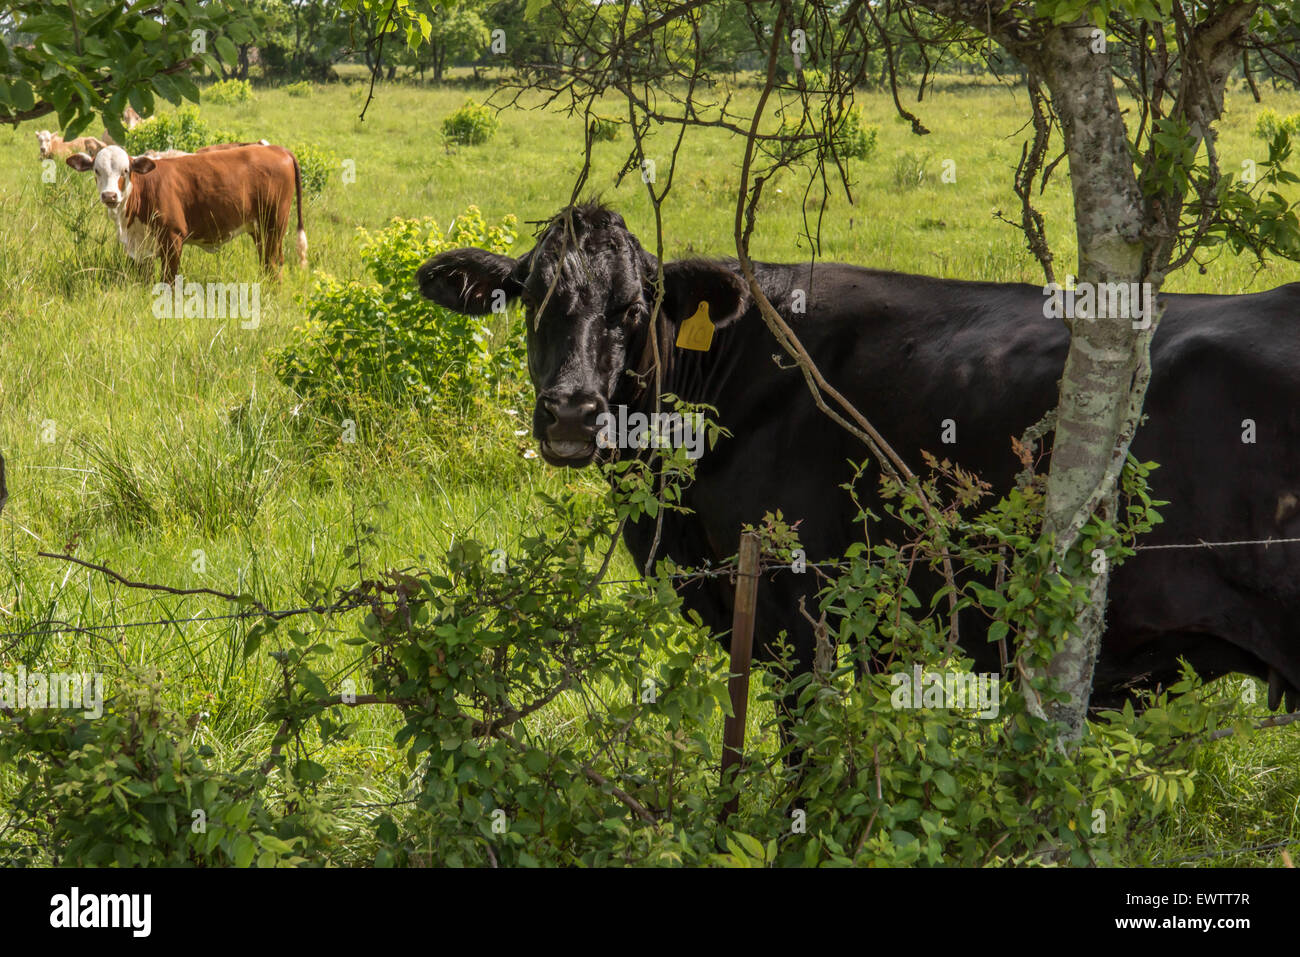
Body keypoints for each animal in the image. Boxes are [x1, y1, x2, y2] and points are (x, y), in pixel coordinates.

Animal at [65, 144, 307, 282]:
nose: (109, 195)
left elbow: (169, 279)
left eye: (126, 170)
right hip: (259, 229)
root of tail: (278, 149)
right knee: (267, 263)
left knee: (273, 264)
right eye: (97, 170)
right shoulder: (141, 246)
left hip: (274, 224)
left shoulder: (173, 237)